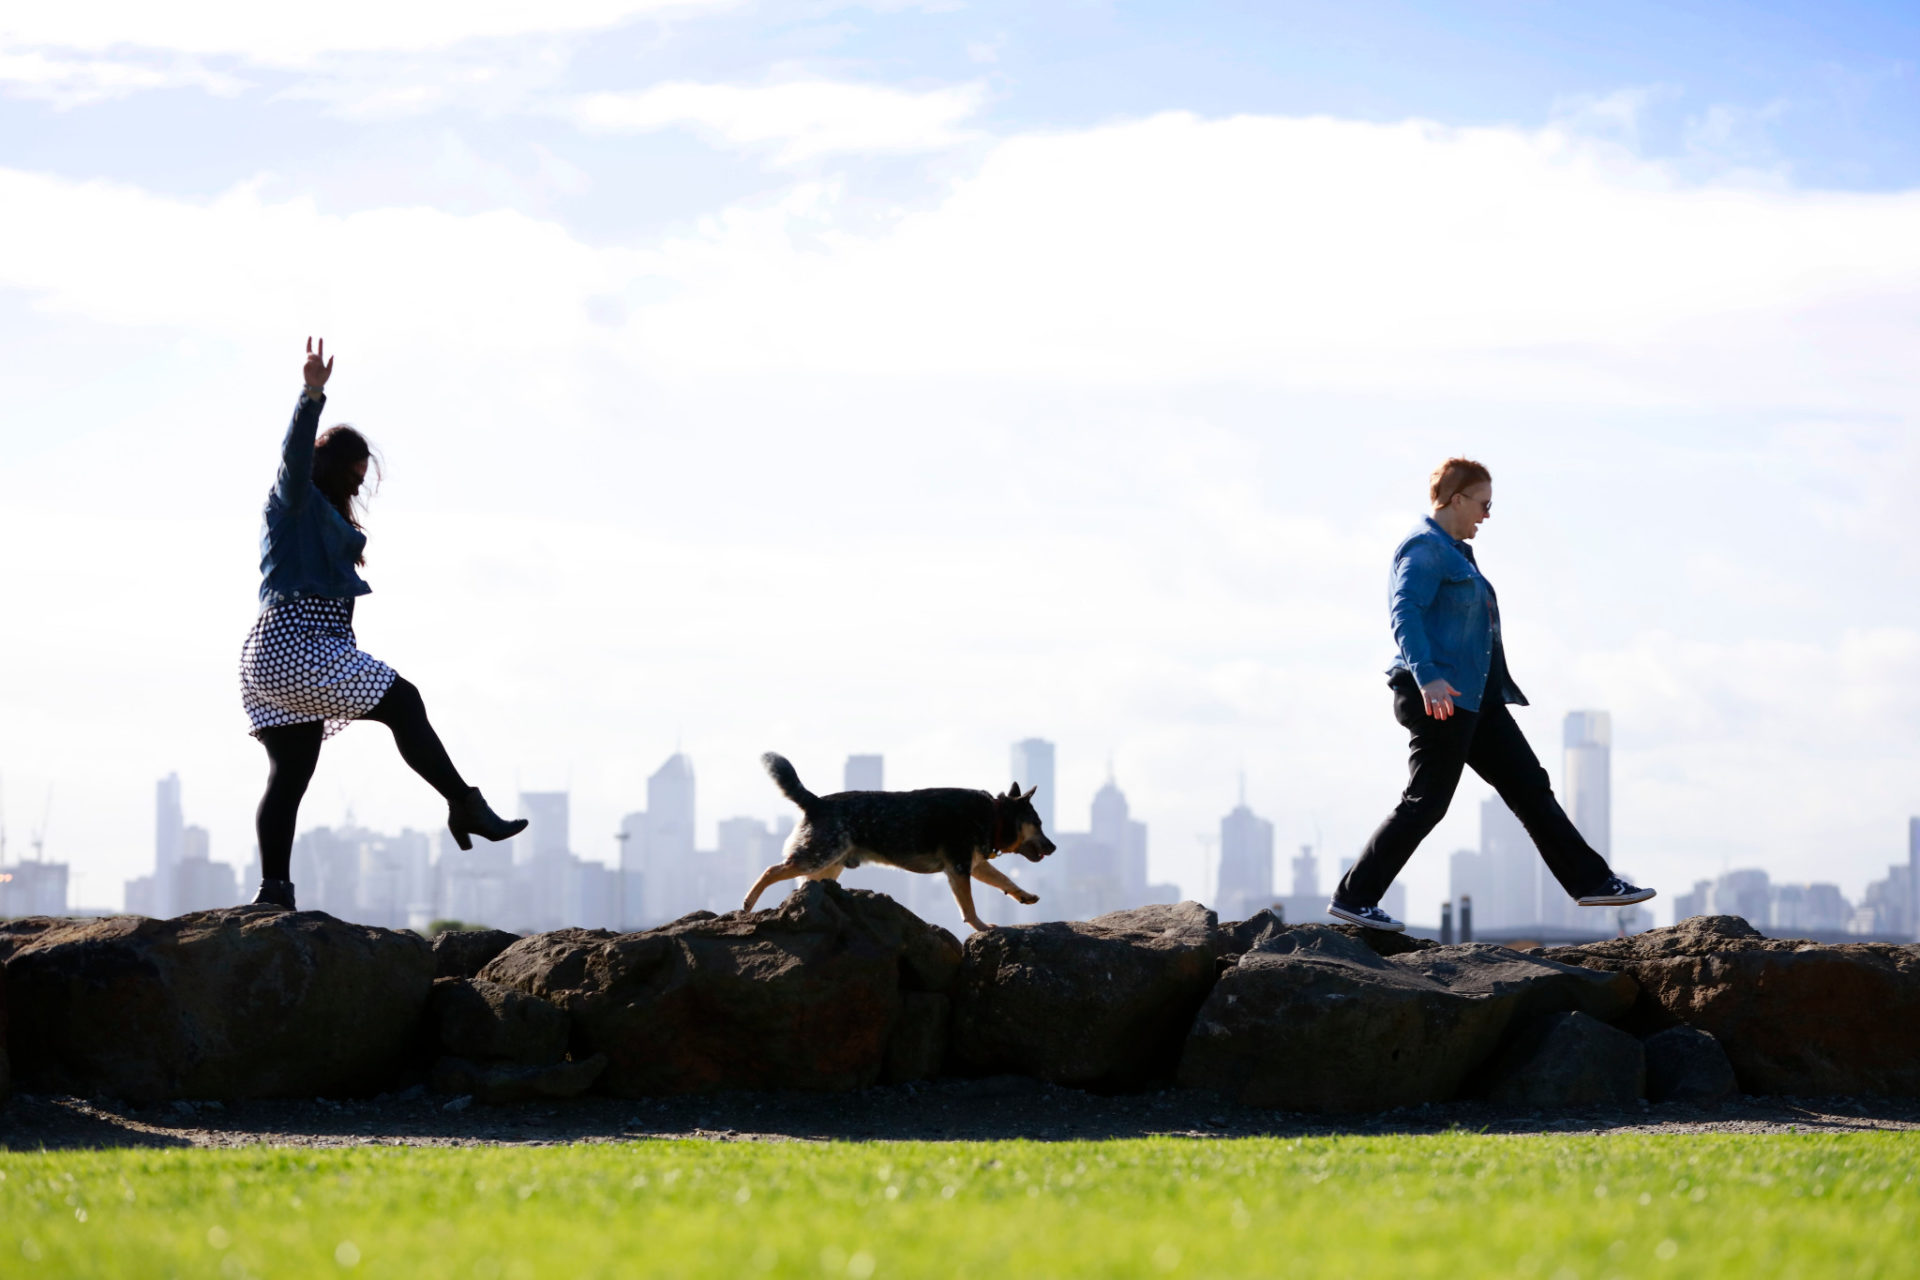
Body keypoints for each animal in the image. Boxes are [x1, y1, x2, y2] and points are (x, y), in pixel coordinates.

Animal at [741, 752, 1059, 932]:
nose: (1053, 847)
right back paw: (748, 902)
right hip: (817, 855)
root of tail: (815, 802)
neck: (994, 815)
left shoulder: (974, 865)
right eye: (1039, 823)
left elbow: (1004, 879)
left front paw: (1023, 894)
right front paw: (980, 926)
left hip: (828, 865)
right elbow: (968, 906)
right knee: (771, 870)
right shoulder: (958, 867)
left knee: (804, 883)